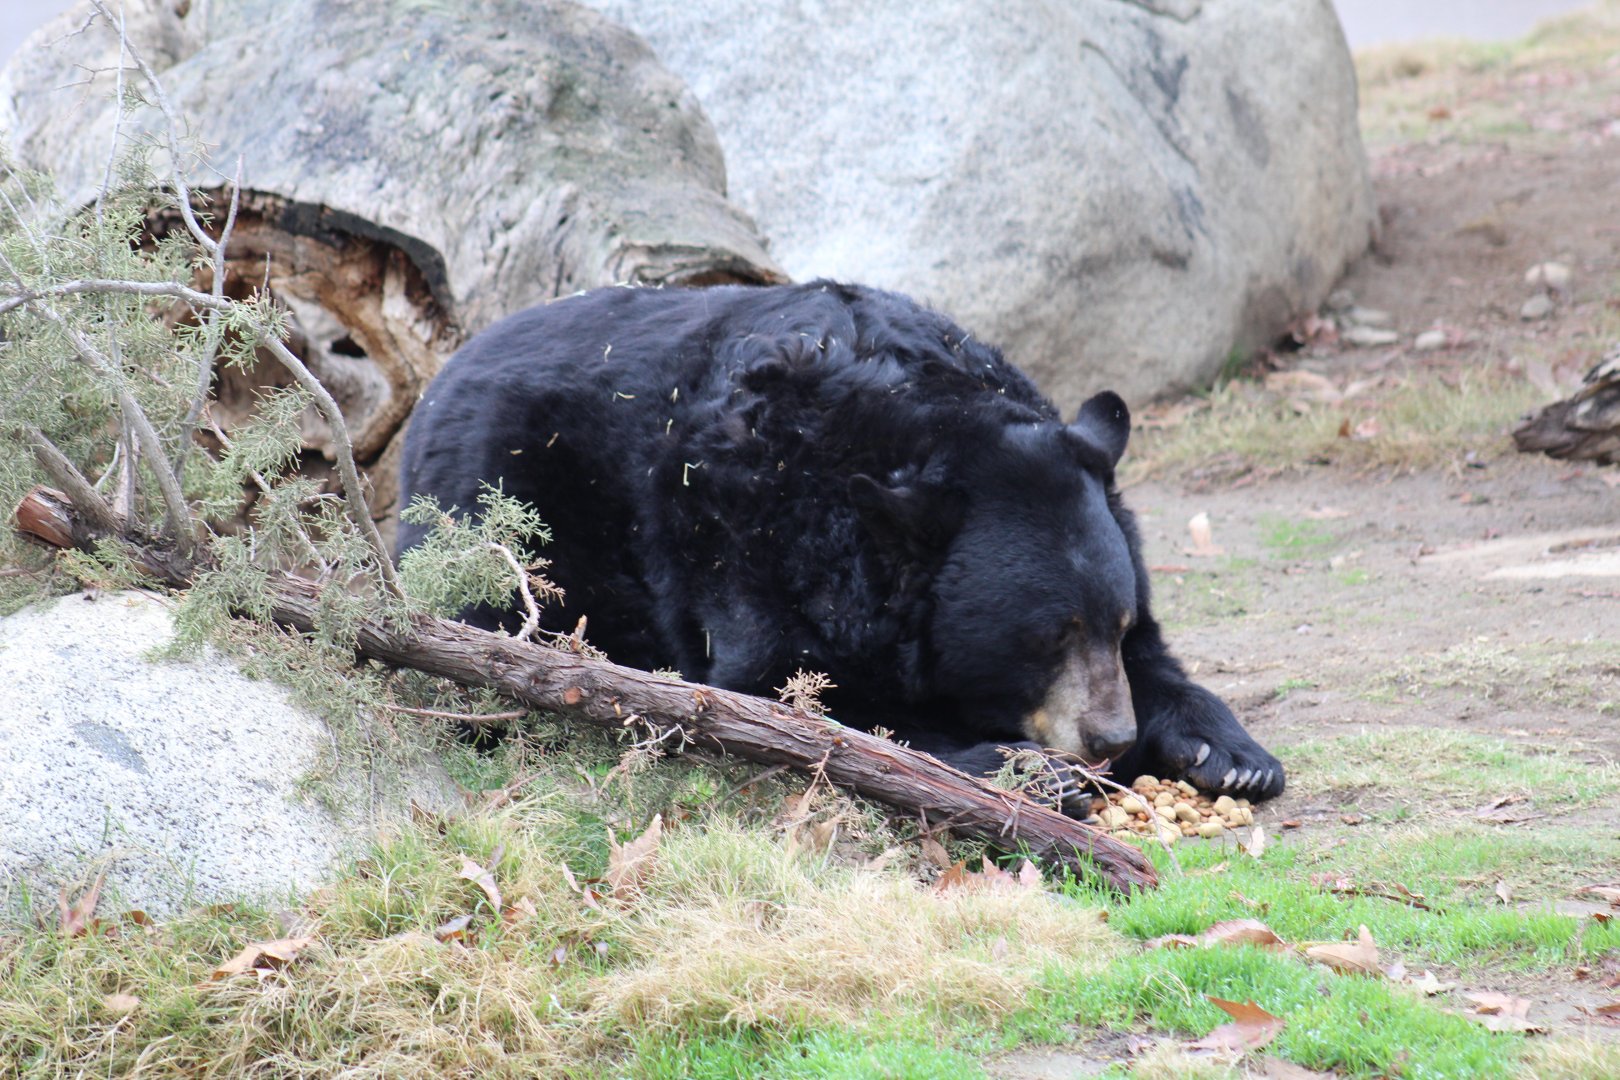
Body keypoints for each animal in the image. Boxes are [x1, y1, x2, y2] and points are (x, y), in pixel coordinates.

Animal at [397, 281, 1284, 804]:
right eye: (1043, 637)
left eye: (1115, 623)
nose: (1109, 739)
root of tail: (438, 381)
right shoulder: (753, 544)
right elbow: (797, 699)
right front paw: (1031, 768)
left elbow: (1161, 666)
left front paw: (1234, 755)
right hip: (498, 509)